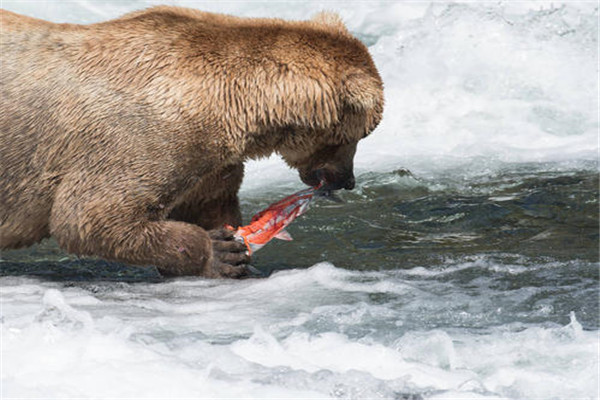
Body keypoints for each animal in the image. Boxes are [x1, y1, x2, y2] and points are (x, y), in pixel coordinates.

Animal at [0, 6, 382, 276]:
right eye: (361, 133)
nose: (347, 179)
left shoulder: (209, 159)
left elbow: (207, 201)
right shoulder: (146, 138)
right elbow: (90, 215)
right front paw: (222, 253)